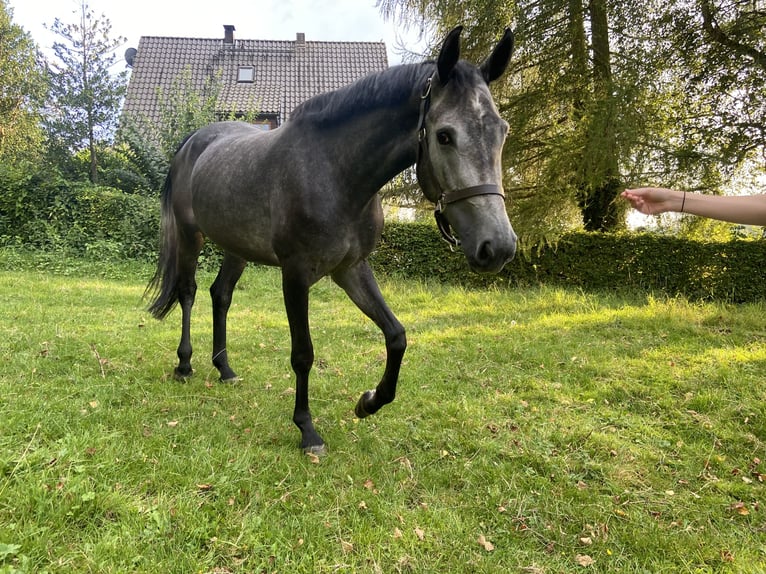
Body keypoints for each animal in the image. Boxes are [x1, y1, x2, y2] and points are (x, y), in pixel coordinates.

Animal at [147, 27, 520, 456]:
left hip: (236, 247)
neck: (335, 173)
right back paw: (185, 364)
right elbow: (303, 354)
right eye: (444, 135)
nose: (498, 246)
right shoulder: (295, 275)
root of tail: (194, 140)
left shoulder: (351, 269)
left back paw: (224, 368)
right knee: (188, 292)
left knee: (220, 295)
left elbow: (396, 336)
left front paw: (369, 402)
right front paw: (307, 429)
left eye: (502, 131)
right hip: (190, 237)